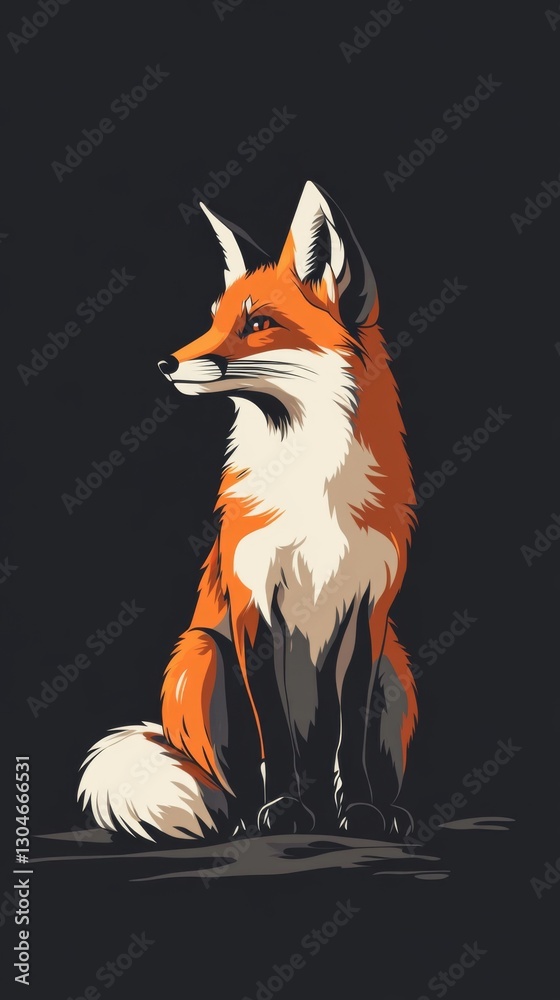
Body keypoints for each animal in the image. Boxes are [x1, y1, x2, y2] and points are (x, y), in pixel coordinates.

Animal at [78, 181, 418, 843]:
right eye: (213, 320)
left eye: (258, 323)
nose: (166, 363)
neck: (311, 485)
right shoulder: (253, 604)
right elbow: (273, 736)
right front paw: (284, 810)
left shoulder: (369, 612)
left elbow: (350, 736)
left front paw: (361, 813)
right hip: (200, 655)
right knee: (226, 780)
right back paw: (245, 817)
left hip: (397, 668)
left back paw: (376, 809)